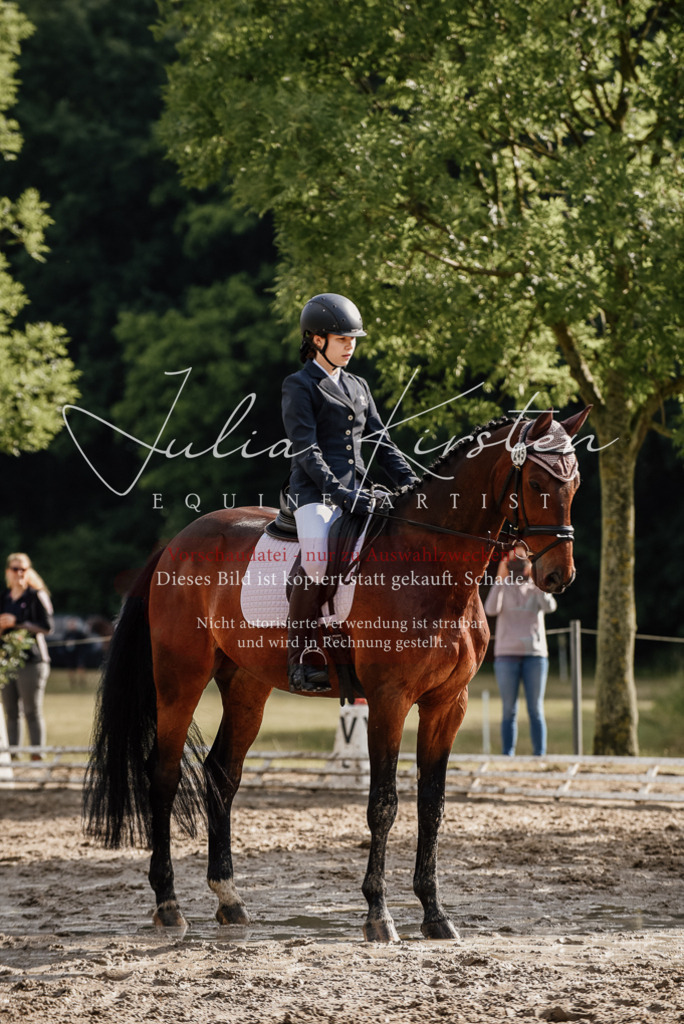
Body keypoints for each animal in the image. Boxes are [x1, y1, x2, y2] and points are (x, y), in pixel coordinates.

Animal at [84, 406, 590, 942]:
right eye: (535, 482)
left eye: (575, 484)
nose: (558, 576)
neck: (432, 565)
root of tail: (175, 544)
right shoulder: (389, 699)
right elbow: (384, 804)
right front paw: (378, 915)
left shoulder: (447, 704)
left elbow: (431, 807)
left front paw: (435, 914)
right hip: (180, 678)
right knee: (163, 772)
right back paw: (168, 904)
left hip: (246, 685)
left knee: (222, 773)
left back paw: (230, 899)